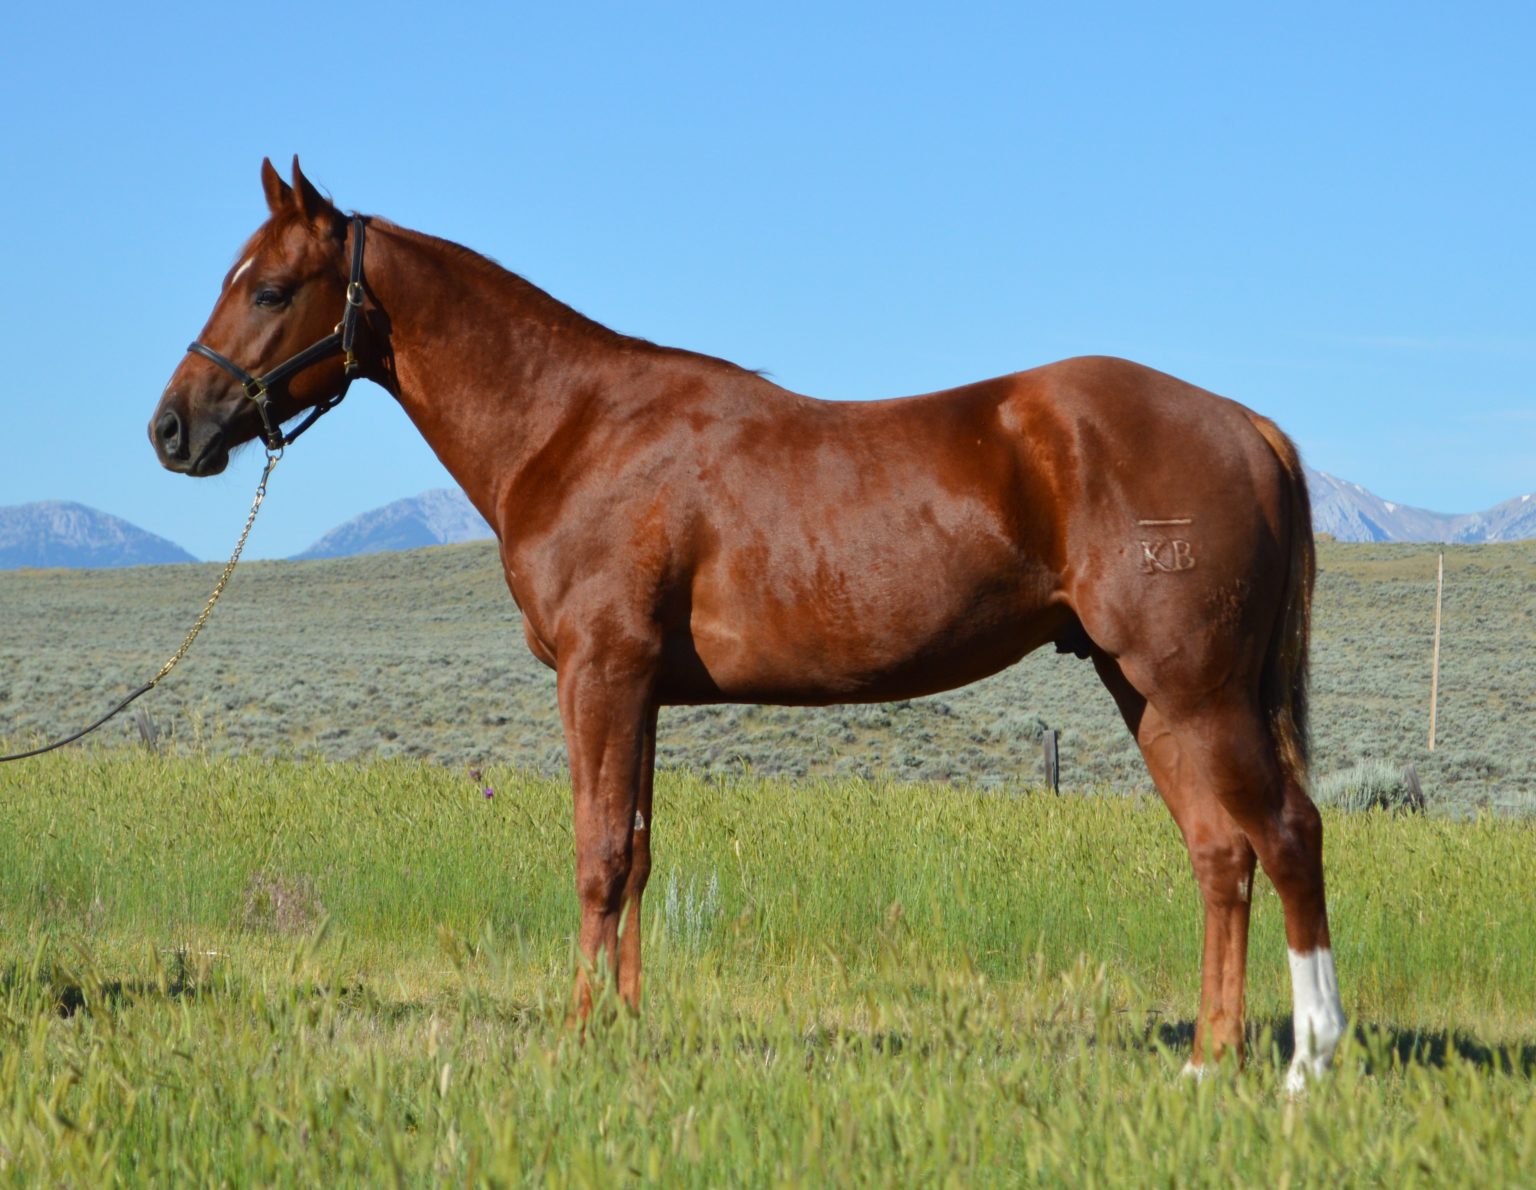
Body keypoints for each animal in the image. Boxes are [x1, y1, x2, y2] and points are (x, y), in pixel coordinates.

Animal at [149, 158, 1345, 1091]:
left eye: (270, 288)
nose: (172, 429)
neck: (573, 427)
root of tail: (1246, 425)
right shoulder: (641, 689)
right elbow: (635, 853)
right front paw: (626, 1029)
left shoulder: (599, 673)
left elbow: (595, 856)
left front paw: (578, 1038)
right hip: (1146, 690)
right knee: (1219, 853)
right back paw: (1210, 1060)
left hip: (1193, 687)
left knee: (1287, 834)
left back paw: (1308, 1060)